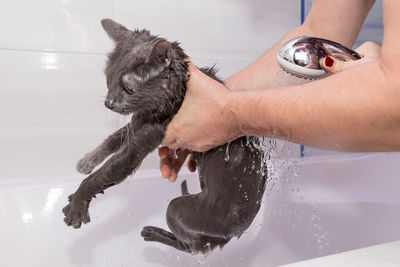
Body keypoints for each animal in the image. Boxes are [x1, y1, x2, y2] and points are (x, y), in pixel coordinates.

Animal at [62, 18, 268, 255]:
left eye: (129, 89)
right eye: (108, 79)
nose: (109, 103)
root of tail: (234, 233)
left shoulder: (139, 144)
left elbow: (100, 176)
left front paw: (77, 205)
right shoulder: (138, 124)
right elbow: (112, 140)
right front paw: (86, 162)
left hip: (177, 208)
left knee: (189, 247)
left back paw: (151, 233)